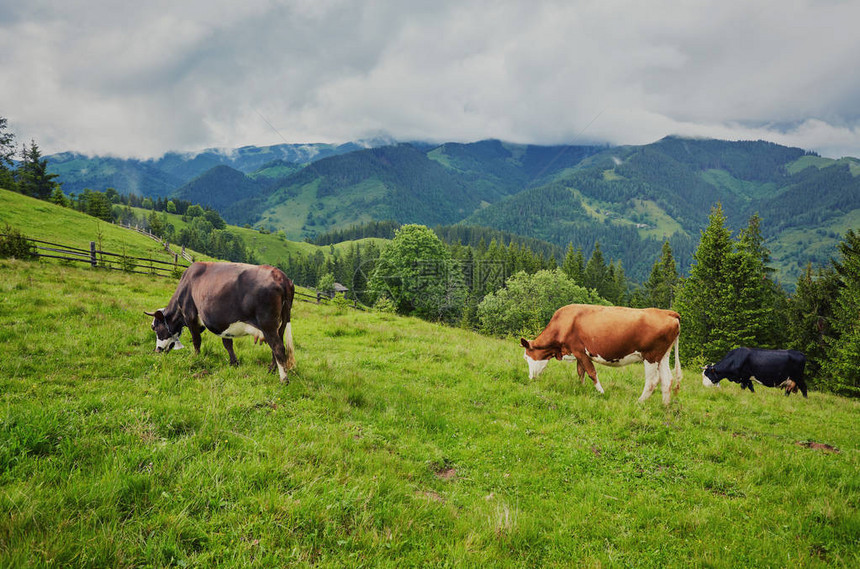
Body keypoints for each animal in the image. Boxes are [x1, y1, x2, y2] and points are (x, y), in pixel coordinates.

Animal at [144, 262, 296, 382]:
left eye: (155, 327)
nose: (157, 350)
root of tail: (281, 276)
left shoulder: (190, 317)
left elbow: (196, 341)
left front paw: (195, 358)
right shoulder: (224, 325)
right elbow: (227, 344)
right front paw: (234, 363)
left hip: (268, 325)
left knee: (278, 347)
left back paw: (284, 379)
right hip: (280, 326)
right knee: (277, 347)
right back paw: (271, 370)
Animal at [520, 302, 680, 404]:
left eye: (526, 357)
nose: (530, 378)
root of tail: (668, 312)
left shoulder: (579, 350)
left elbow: (591, 372)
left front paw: (601, 392)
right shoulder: (578, 353)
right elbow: (581, 372)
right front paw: (581, 387)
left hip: (651, 356)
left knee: (653, 381)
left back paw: (639, 402)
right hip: (663, 356)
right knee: (667, 380)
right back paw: (664, 406)